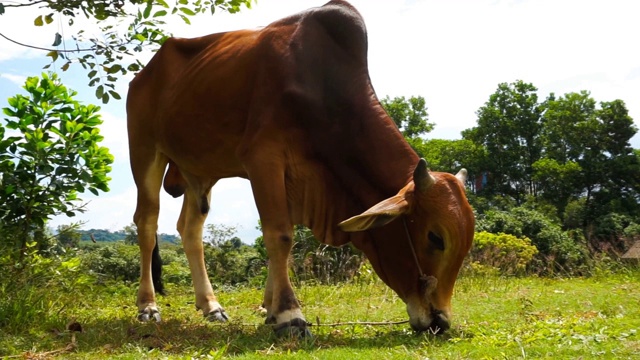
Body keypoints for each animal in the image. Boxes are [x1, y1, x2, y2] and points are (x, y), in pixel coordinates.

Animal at [126, 0, 476, 334]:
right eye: (435, 237)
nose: (440, 320)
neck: (321, 86)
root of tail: (145, 73)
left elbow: (282, 241)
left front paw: (270, 310)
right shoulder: (263, 158)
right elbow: (280, 235)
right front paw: (289, 315)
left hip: (200, 170)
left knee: (190, 230)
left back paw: (210, 306)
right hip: (144, 150)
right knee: (147, 223)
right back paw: (147, 306)